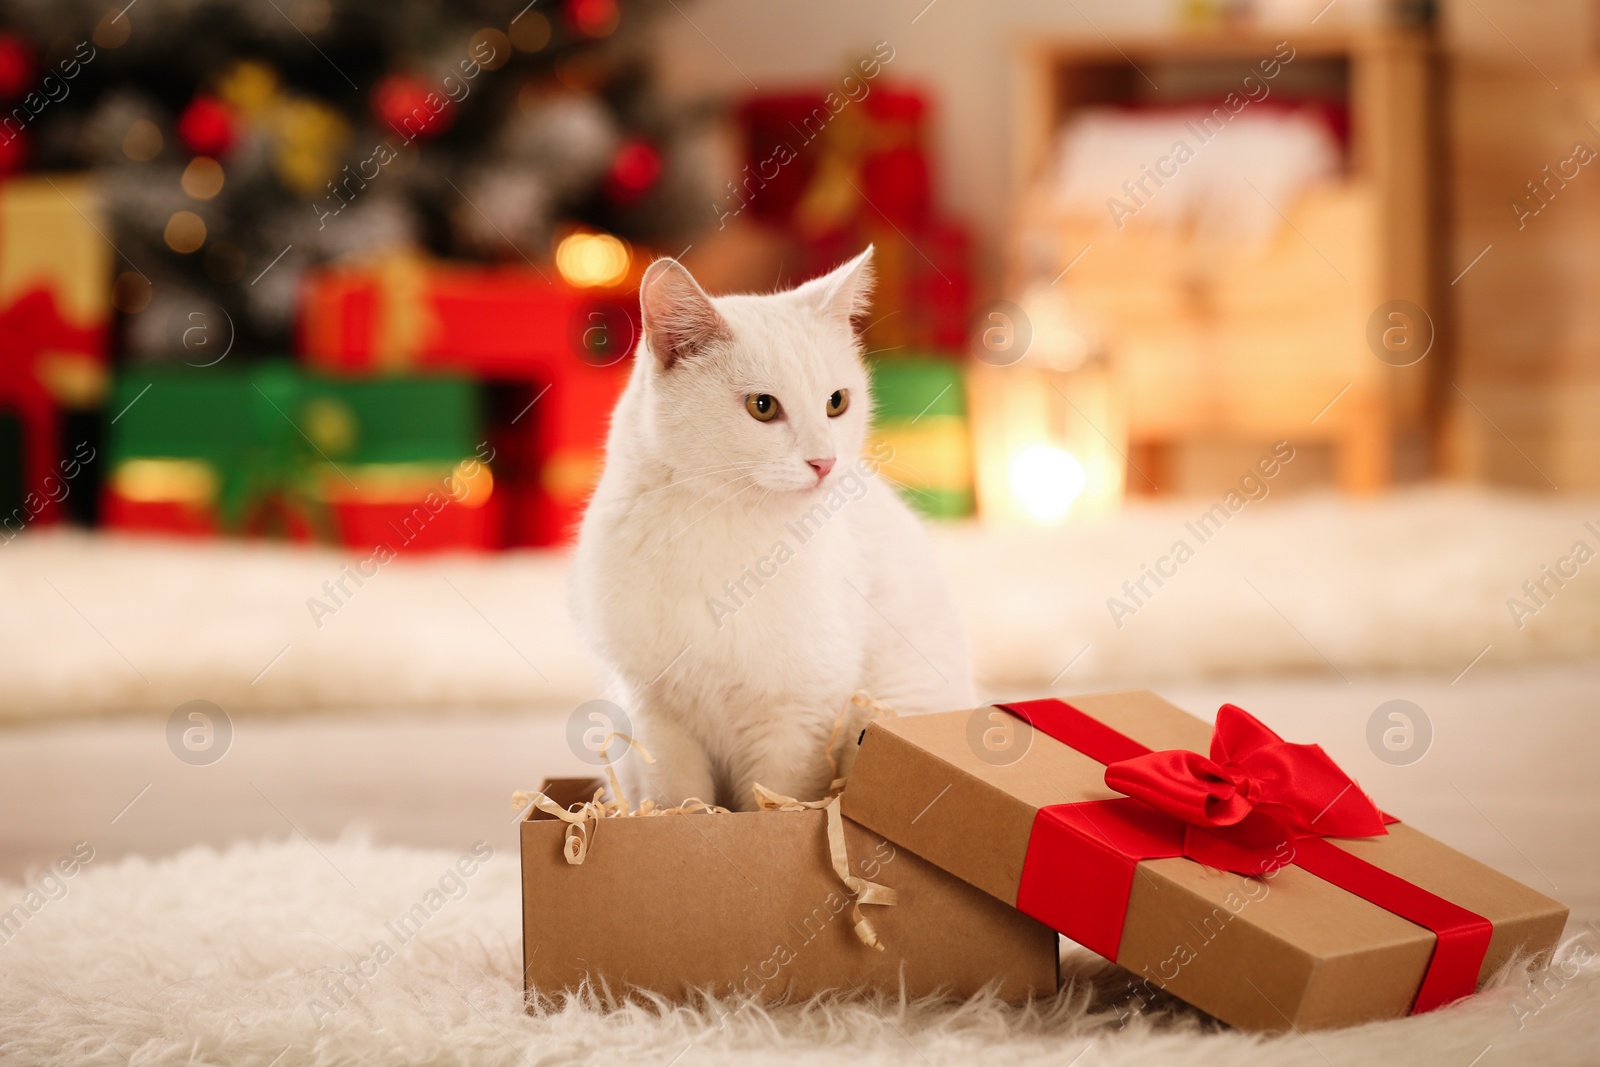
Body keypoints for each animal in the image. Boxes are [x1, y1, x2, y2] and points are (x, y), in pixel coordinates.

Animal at [576, 251, 972, 812]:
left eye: (836, 402)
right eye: (762, 406)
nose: (825, 462)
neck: (723, 527)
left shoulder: (798, 718)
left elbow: (776, 797)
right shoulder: (654, 716)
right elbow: (675, 800)